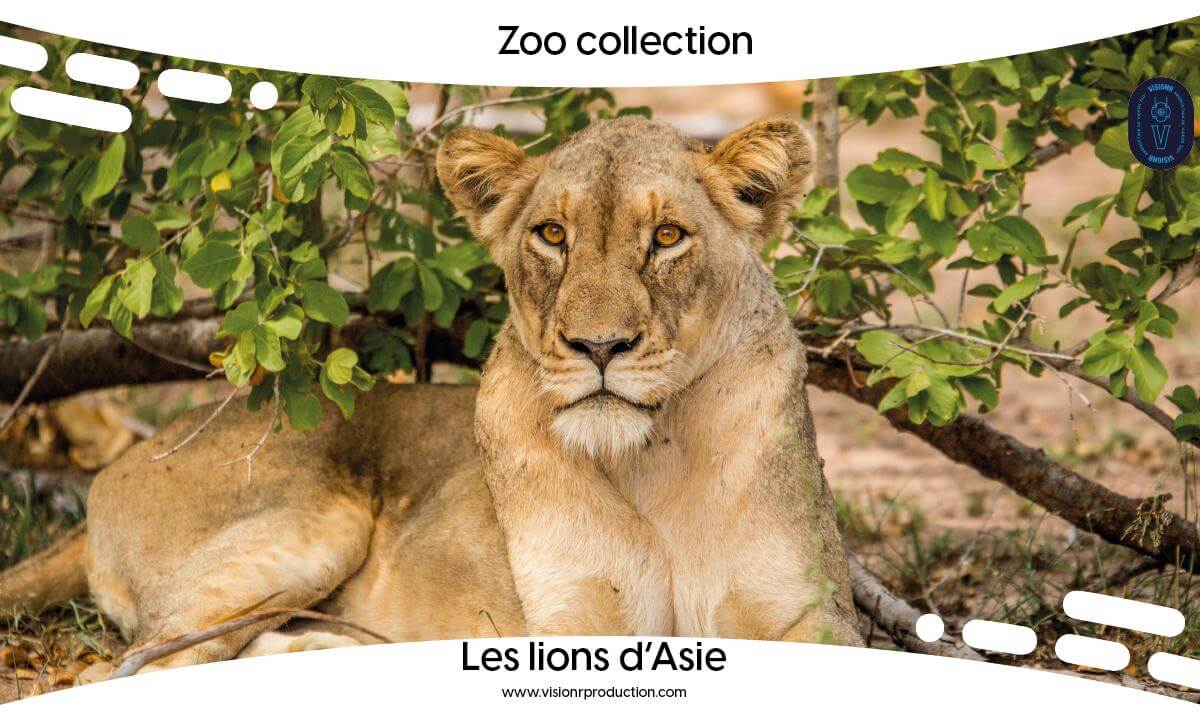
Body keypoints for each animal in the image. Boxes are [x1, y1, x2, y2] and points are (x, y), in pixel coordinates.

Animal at [0, 116, 862, 678]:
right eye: (552, 235)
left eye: (669, 237)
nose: (598, 347)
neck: (649, 459)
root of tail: (123, 463)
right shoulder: (568, 622)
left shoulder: (815, 617)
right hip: (319, 521)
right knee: (134, 664)